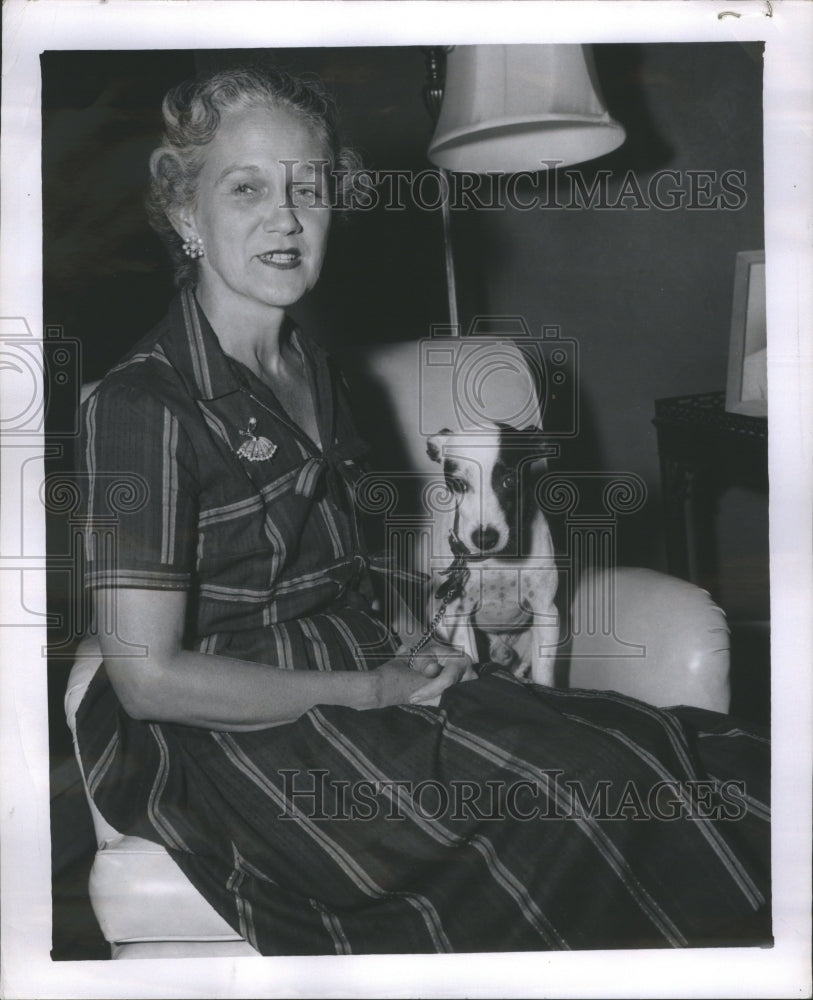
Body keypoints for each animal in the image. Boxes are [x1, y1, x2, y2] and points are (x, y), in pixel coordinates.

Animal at [426, 418, 560, 684]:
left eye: (510, 481)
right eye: (458, 484)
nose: (484, 538)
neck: (499, 561)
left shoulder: (546, 612)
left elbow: (545, 677)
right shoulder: (459, 616)